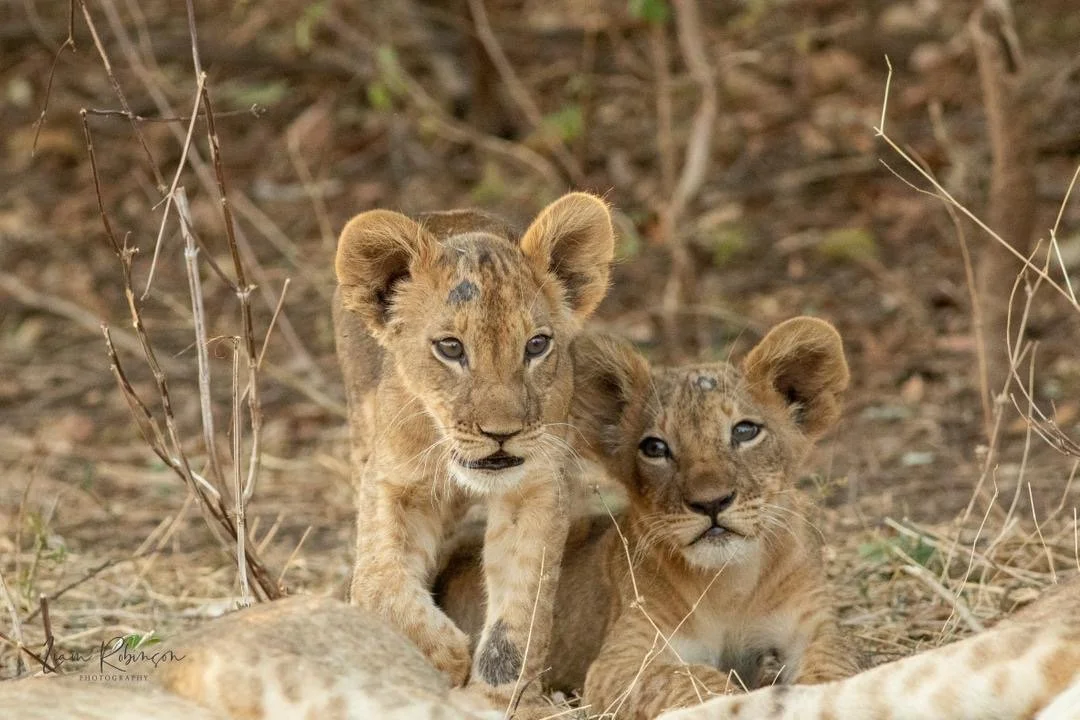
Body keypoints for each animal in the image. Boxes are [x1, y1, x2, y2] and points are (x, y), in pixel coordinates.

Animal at [331, 192, 615, 708]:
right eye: (450, 348)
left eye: (536, 345)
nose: (501, 433)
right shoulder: (390, 481)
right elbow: (380, 582)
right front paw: (444, 654)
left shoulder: (536, 485)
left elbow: (522, 602)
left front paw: (500, 697)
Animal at [436, 317, 862, 718]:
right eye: (655, 448)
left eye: (745, 431)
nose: (711, 503)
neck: (730, 584)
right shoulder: (619, 662)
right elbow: (691, 679)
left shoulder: (815, 629)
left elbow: (835, 671)